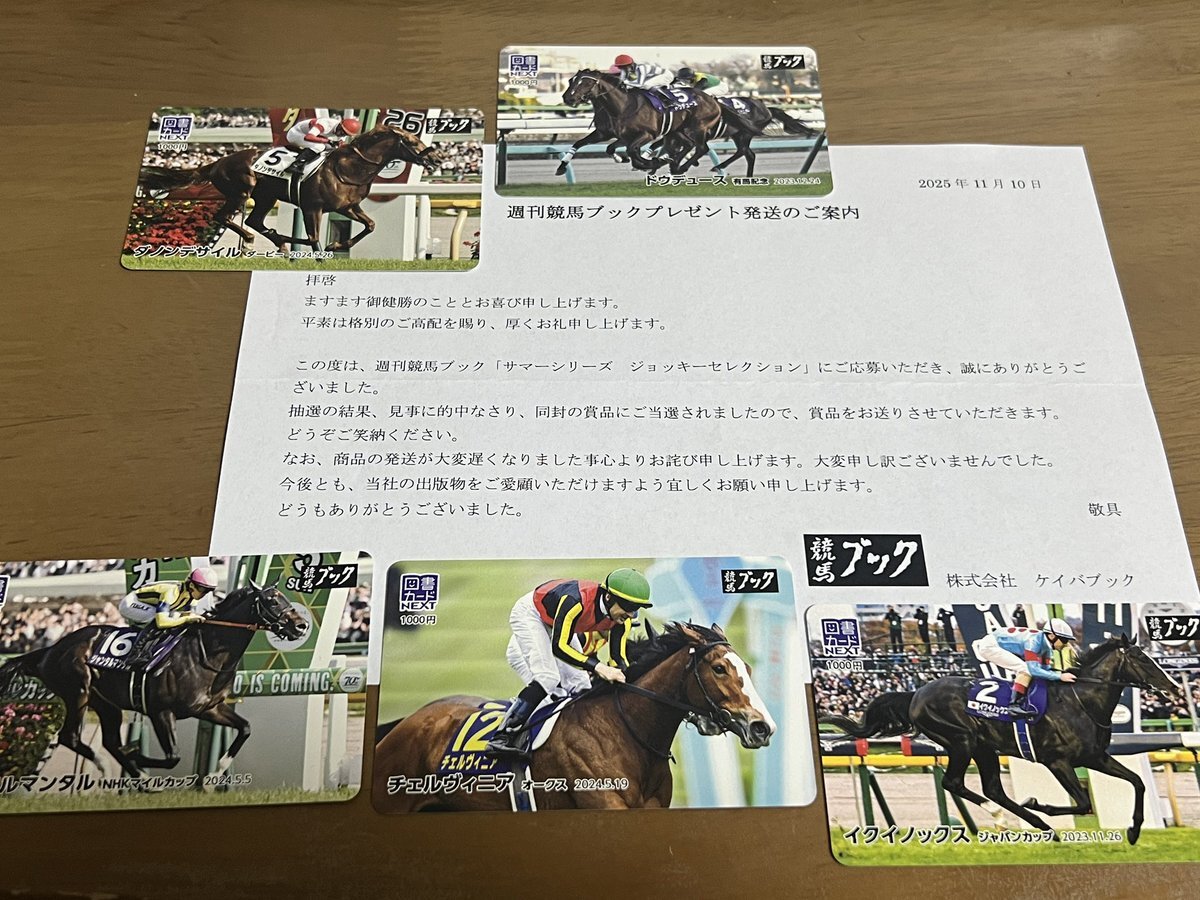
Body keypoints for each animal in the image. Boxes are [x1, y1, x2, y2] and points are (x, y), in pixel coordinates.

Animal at [0, 582, 307, 781]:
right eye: (272, 600)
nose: (301, 625)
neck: (207, 653)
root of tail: (50, 650)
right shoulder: (162, 711)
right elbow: (173, 757)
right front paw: (137, 754)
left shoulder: (209, 708)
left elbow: (245, 728)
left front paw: (215, 774)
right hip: (78, 691)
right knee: (71, 737)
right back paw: (112, 769)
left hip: (105, 703)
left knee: (109, 741)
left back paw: (139, 780)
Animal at [137, 124, 444, 253]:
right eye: (412, 141)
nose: (436, 159)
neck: (349, 168)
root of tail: (218, 161)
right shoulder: (313, 207)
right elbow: (313, 236)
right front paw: (320, 250)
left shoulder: (347, 207)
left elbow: (370, 226)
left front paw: (336, 244)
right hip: (242, 191)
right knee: (226, 217)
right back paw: (257, 240)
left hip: (263, 197)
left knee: (254, 221)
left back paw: (275, 239)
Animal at [561, 70, 721, 176]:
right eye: (571, 81)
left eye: (586, 82)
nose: (568, 98)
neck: (624, 106)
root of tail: (712, 100)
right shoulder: (615, 135)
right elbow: (610, 148)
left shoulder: (647, 134)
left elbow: (632, 151)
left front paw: (651, 163)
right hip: (678, 130)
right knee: (689, 144)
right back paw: (674, 164)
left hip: (698, 127)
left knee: (701, 148)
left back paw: (679, 166)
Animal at [819, 634, 1178, 844]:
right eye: (1142, 658)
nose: (1173, 686)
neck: (1080, 701)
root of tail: (915, 693)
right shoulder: (1057, 761)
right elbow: (1083, 802)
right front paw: (1039, 803)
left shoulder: (1095, 757)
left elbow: (1137, 782)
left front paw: (1134, 829)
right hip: (962, 741)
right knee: (954, 783)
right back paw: (1006, 817)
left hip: (984, 748)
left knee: (991, 787)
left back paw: (1037, 825)